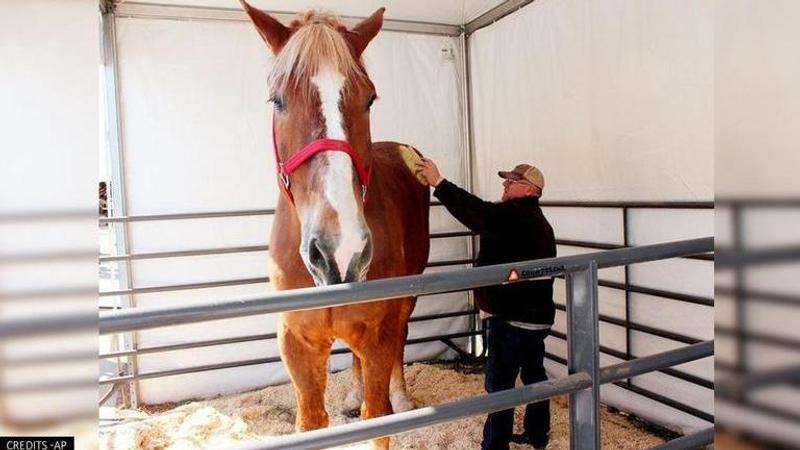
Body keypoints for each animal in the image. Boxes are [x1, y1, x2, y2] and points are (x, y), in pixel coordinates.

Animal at [239, 2, 432, 446]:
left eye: (370, 99)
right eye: (277, 101)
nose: (340, 252)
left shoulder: (379, 331)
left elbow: (378, 419)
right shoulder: (296, 343)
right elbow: (312, 422)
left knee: (401, 337)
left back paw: (402, 396)